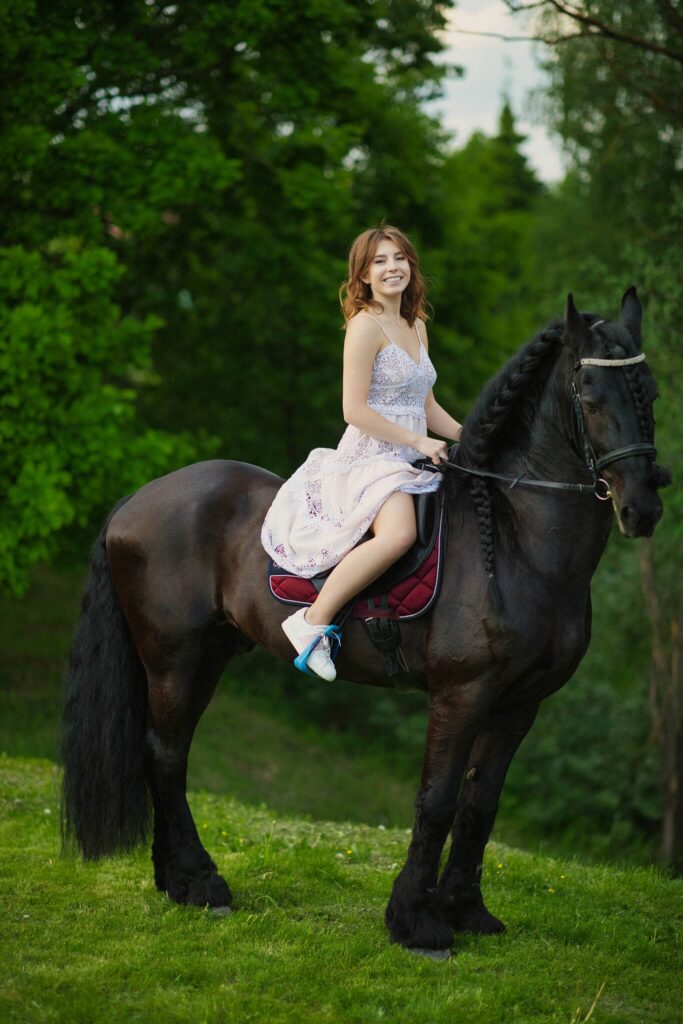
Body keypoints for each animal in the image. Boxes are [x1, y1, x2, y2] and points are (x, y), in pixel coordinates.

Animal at [61, 288, 670, 957]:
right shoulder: (462, 693)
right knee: (166, 754)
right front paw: (417, 923)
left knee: (167, 753)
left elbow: (481, 805)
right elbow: (437, 800)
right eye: (590, 397)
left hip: (207, 658)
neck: (514, 538)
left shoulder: (520, 702)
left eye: (651, 393)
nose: (643, 507)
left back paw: (177, 881)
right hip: (173, 658)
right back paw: (202, 883)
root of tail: (134, 500)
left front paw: (468, 911)